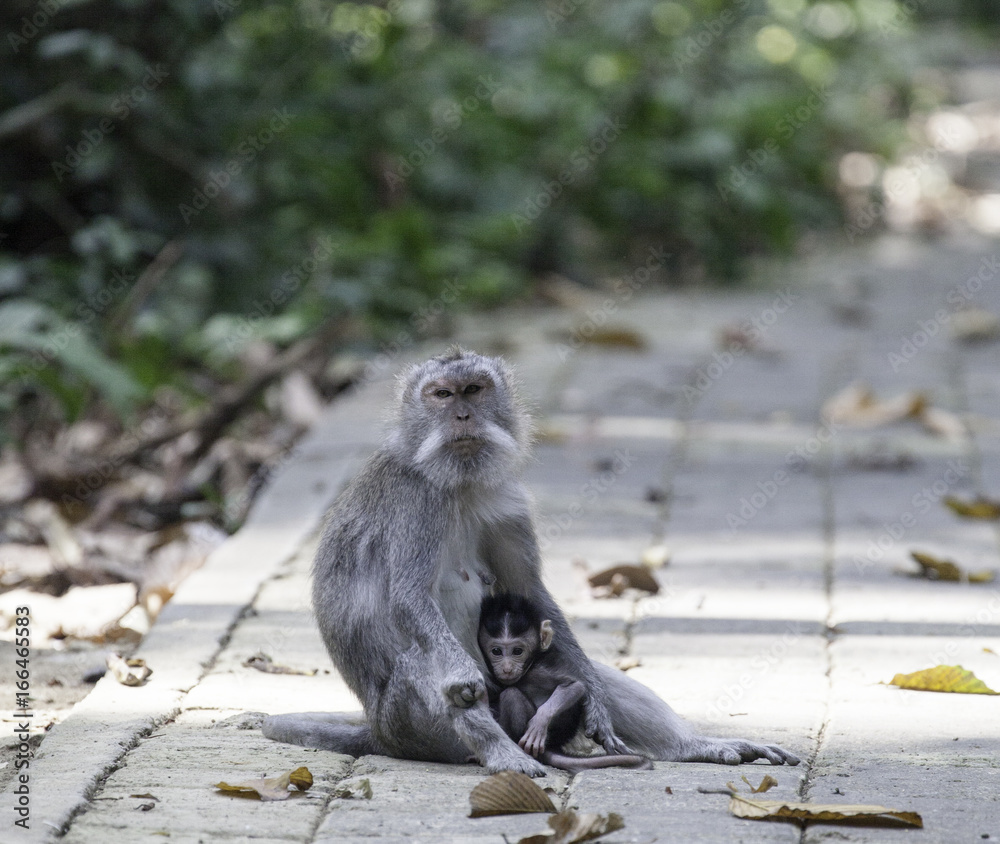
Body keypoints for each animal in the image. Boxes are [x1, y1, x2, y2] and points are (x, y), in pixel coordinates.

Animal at [479, 593, 653, 773]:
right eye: (496, 651)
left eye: (517, 651)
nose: (507, 668)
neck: (532, 663)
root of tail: (553, 745)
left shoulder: (542, 669)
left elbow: (575, 686)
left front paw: (539, 722)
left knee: (511, 695)